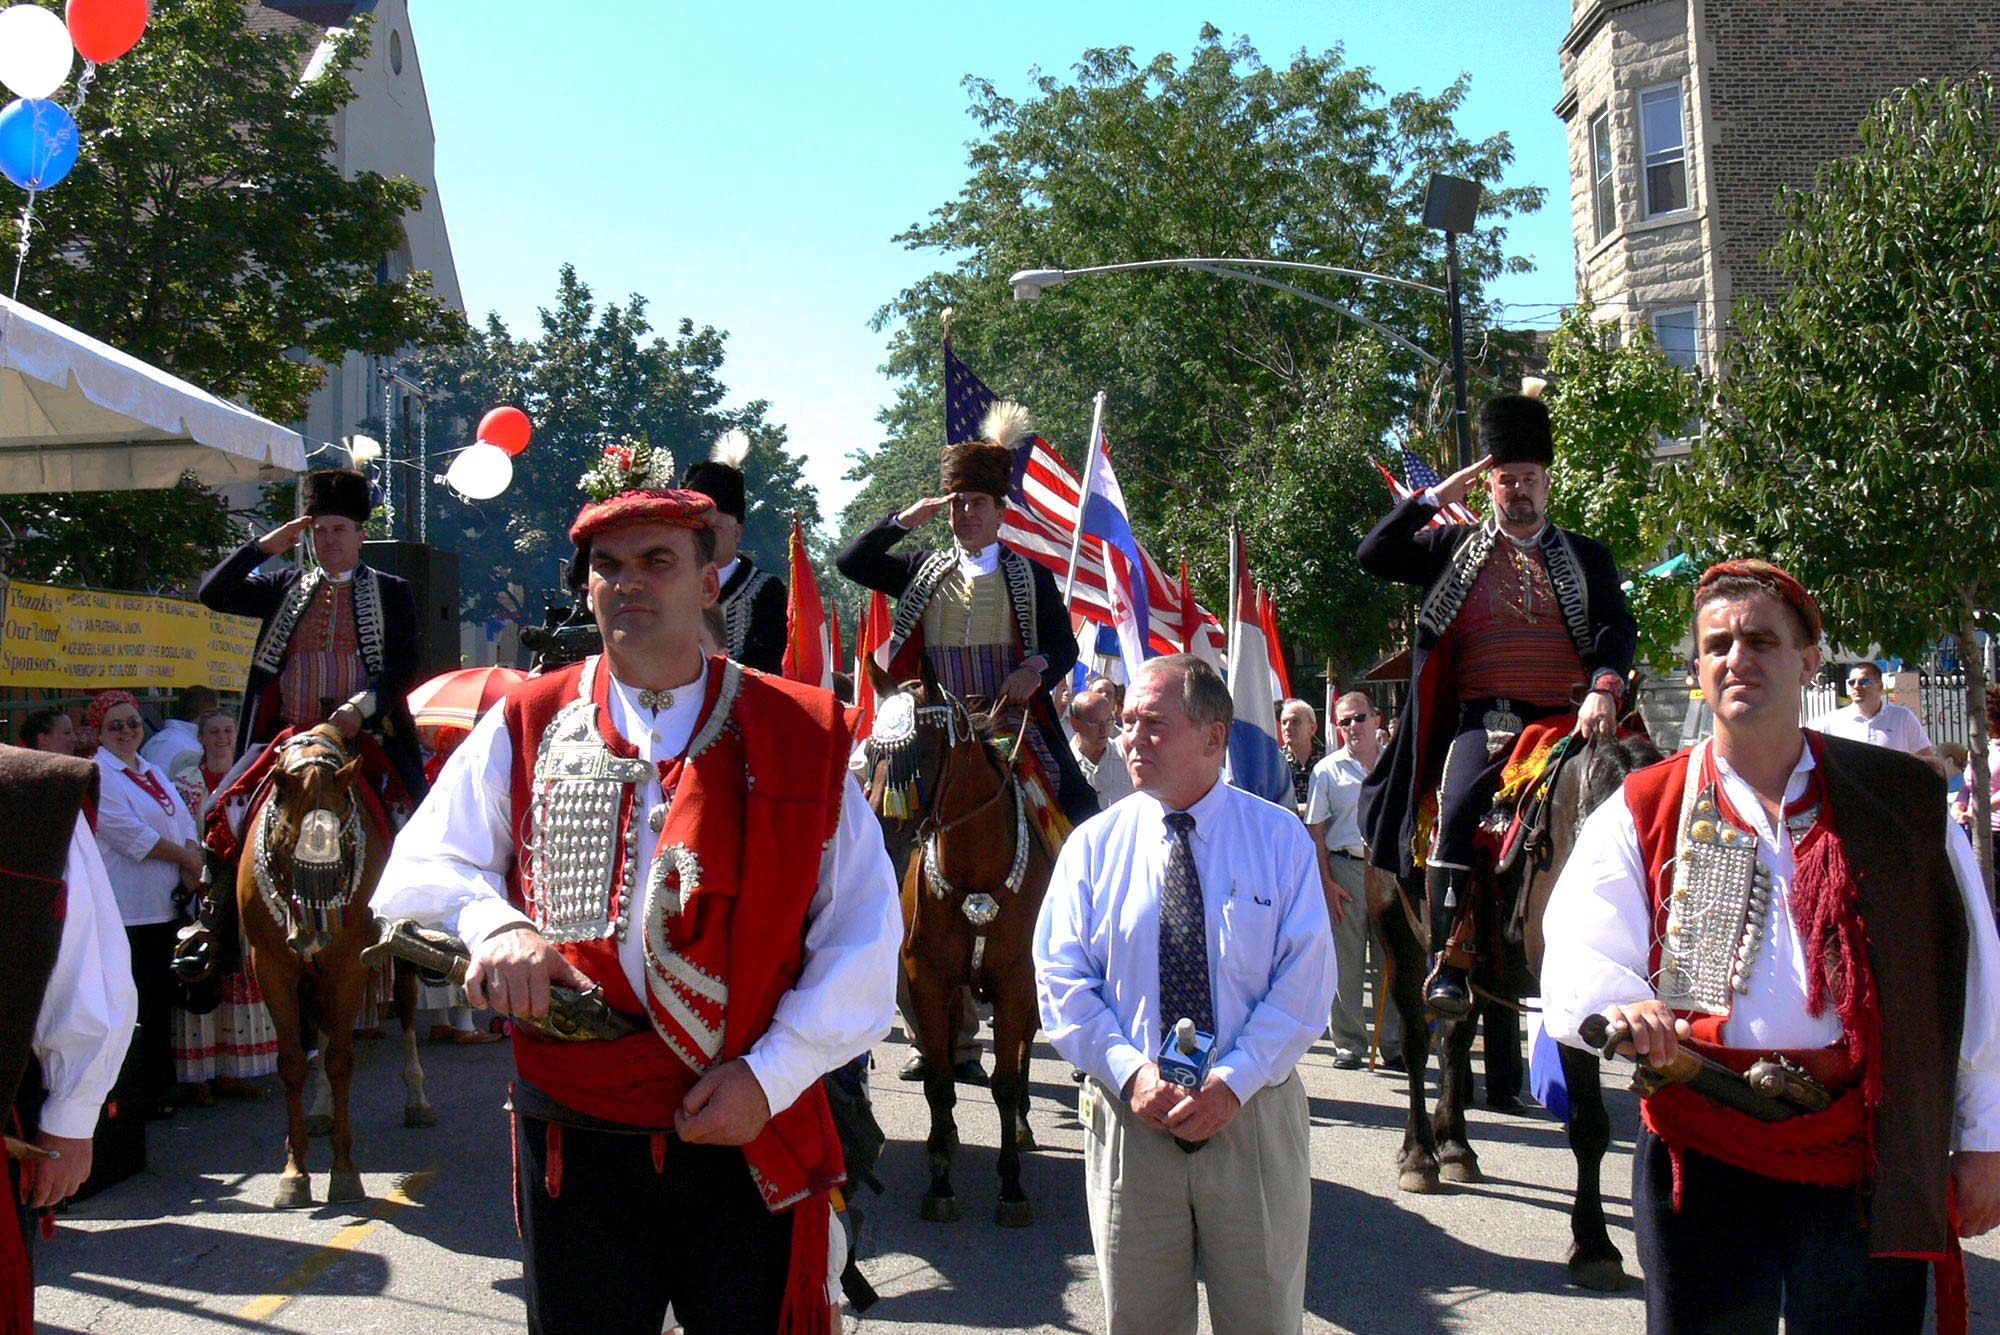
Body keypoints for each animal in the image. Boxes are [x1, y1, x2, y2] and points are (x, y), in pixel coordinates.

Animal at [238, 731, 434, 1207]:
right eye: (283, 837)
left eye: (344, 843)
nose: (313, 935)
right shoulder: (273, 967)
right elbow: (292, 1062)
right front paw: (294, 1172)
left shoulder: (347, 965)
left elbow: (341, 1061)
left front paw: (343, 1171)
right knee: (324, 1031)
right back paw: (321, 1110)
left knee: (405, 1010)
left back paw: (416, 1099)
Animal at [860, 663, 1056, 1223]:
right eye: (872, 754)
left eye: (921, 755)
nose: (875, 835)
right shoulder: (926, 978)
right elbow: (939, 1082)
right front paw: (941, 1180)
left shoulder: (1016, 982)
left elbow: (1007, 1082)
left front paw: (1011, 1186)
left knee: (1023, 1052)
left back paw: (1023, 1127)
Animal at [1368, 723, 1664, 1287]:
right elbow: (1588, 1124)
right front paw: (1594, 1246)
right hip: (1397, 931)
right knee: (1417, 1045)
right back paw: (1419, 1156)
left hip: (1476, 974)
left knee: (1454, 1043)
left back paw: (1456, 1146)